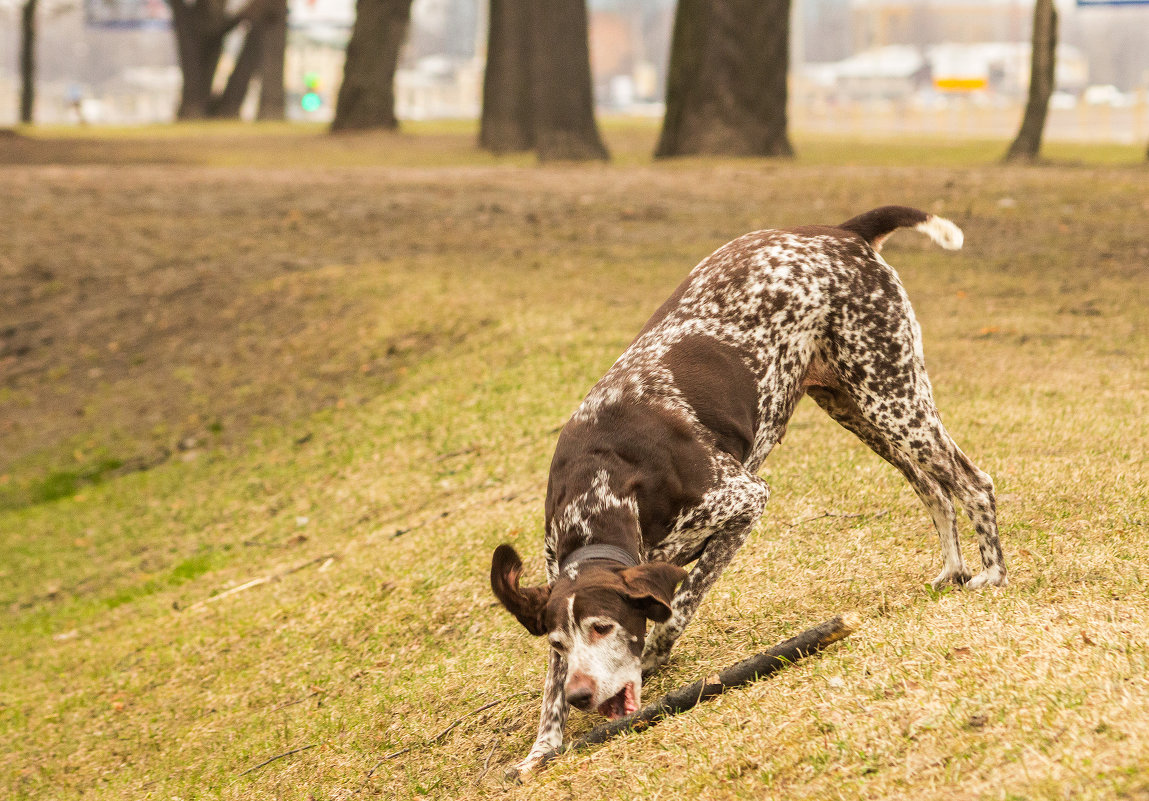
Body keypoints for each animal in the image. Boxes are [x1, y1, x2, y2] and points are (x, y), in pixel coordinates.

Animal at [491, 204, 1006, 776]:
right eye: (560, 642)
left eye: (603, 628)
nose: (582, 697)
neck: (599, 491)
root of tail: (843, 231)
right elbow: (549, 689)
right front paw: (542, 747)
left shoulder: (743, 500)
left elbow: (682, 600)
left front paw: (654, 654)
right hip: (860, 410)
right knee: (935, 490)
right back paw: (952, 569)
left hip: (894, 398)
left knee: (973, 483)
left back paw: (992, 572)